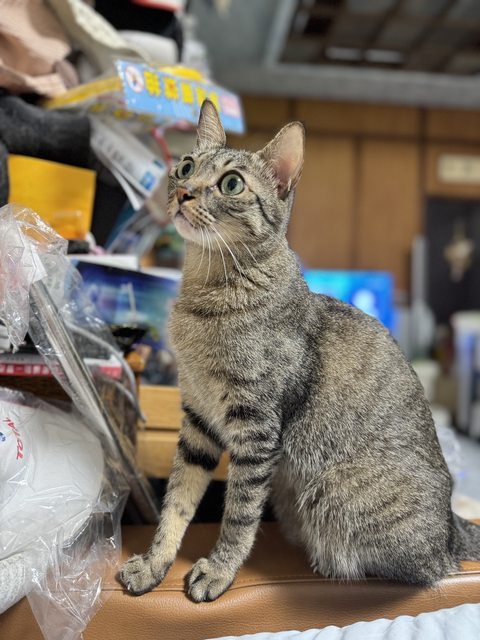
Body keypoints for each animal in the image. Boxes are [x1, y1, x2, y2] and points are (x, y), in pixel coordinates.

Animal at [120, 99, 480, 602]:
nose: (184, 192)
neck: (206, 294)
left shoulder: (256, 429)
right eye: (186, 166)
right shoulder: (198, 422)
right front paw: (155, 563)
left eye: (231, 183)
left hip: (332, 493)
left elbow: (238, 514)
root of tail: (452, 527)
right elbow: (176, 502)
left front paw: (219, 571)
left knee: (426, 572)